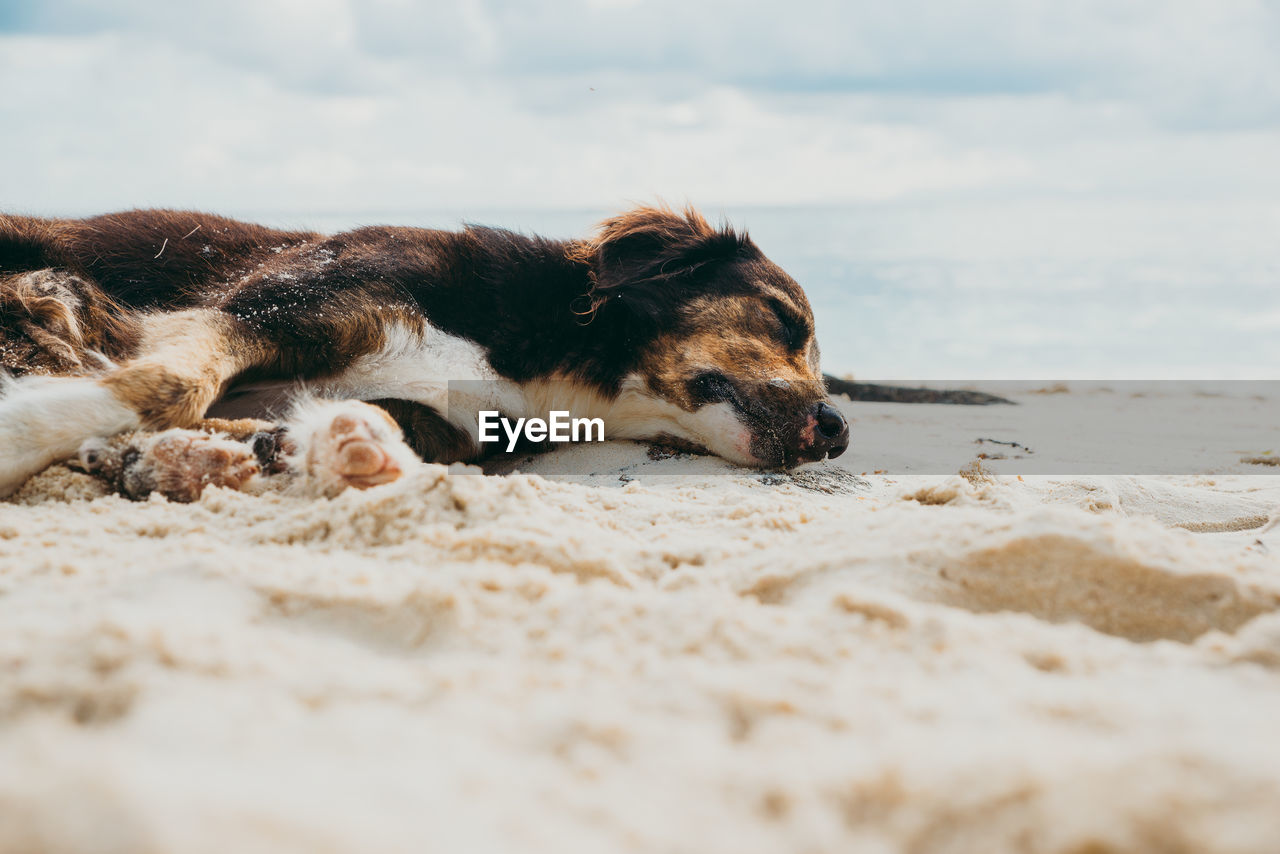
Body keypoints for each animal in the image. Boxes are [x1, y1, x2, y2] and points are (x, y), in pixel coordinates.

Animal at [5, 204, 855, 501]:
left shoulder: (443, 420)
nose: (838, 428)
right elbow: (170, 385)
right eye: (784, 318)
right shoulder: (264, 310)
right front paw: (24, 432)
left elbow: (369, 422)